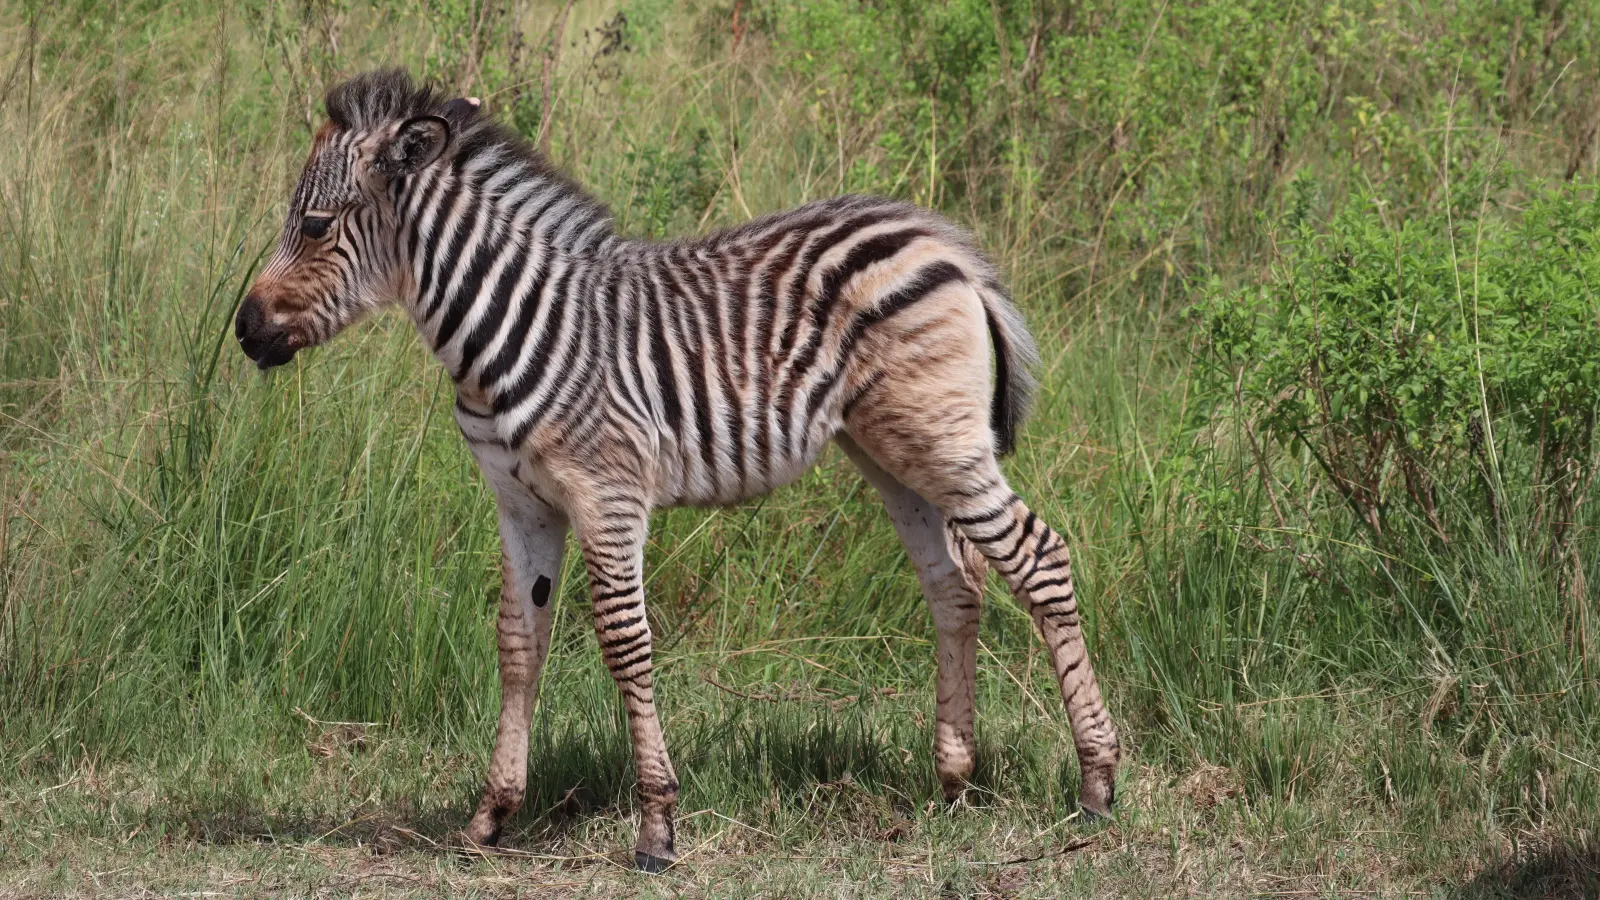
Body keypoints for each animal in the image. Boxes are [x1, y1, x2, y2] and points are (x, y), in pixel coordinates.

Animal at [236, 70, 1120, 871]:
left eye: (313, 224)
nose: (243, 331)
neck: (504, 325)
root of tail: (942, 240)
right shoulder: (521, 503)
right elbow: (518, 643)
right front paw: (491, 818)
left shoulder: (607, 492)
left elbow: (625, 640)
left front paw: (657, 829)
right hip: (891, 451)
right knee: (955, 585)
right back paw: (954, 782)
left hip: (940, 439)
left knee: (1040, 558)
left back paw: (1097, 786)